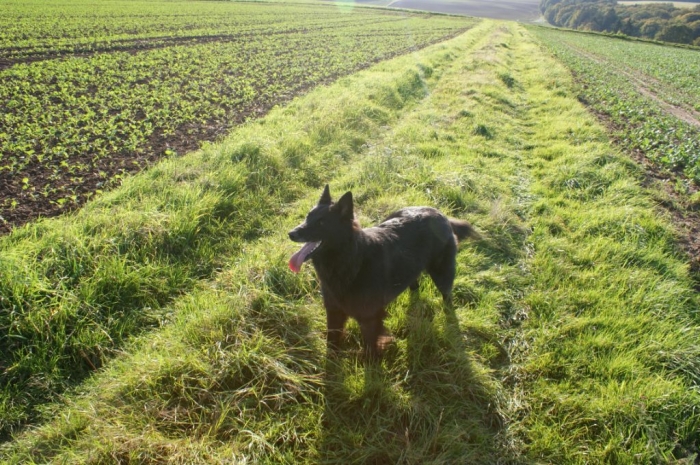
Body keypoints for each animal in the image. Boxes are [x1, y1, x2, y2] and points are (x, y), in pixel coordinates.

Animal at [288, 186, 478, 358]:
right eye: (308, 217)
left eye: (321, 222)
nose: (291, 233)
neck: (350, 260)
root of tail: (439, 212)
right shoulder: (334, 311)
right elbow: (331, 342)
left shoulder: (369, 317)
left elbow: (370, 348)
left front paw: (372, 369)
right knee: (414, 283)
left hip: (442, 273)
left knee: (447, 296)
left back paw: (449, 317)